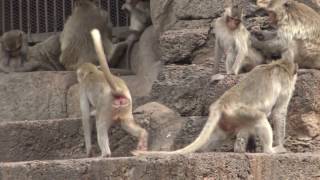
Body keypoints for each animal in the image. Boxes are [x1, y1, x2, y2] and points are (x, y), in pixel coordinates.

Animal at [76, 28, 149, 158]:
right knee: (127, 124)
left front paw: (89, 151)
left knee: (100, 125)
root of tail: (117, 91)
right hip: (127, 104)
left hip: (107, 107)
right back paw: (142, 137)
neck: (91, 72)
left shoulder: (82, 88)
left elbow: (85, 117)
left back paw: (105, 154)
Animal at [132, 47, 298, 155]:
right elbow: (279, 112)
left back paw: (208, 150)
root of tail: (221, 103)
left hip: (229, 118)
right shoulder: (285, 85)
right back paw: (270, 150)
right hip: (240, 112)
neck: (280, 65)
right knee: (260, 118)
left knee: (222, 134)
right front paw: (281, 144)